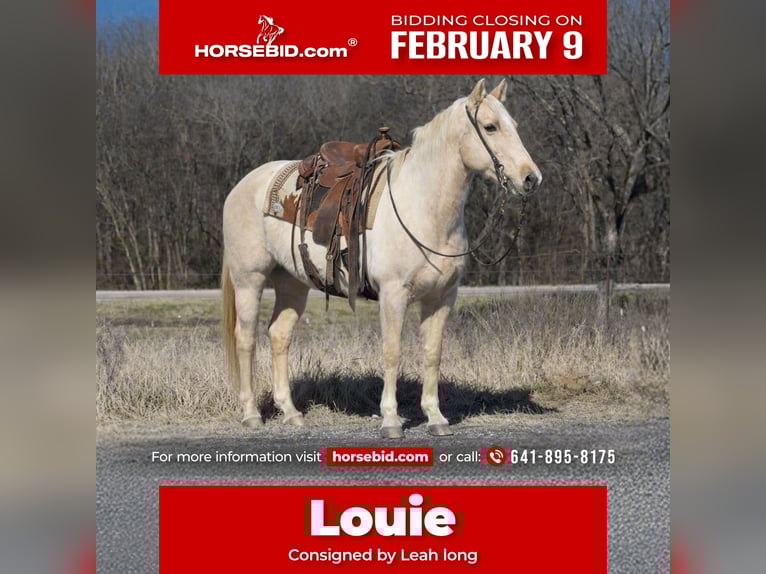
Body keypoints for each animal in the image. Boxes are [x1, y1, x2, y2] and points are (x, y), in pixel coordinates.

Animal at [221, 79, 542, 438]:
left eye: (514, 125)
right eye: (490, 126)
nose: (531, 178)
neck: (422, 207)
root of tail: (243, 185)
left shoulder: (442, 297)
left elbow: (433, 353)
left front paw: (436, 417)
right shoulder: (393, 294)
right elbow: (392, 353)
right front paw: (391, 419)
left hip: (292, 283)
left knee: (279, 335)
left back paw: (291, 412)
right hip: (249, 280)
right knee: (246, 339)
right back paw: (251, 413)